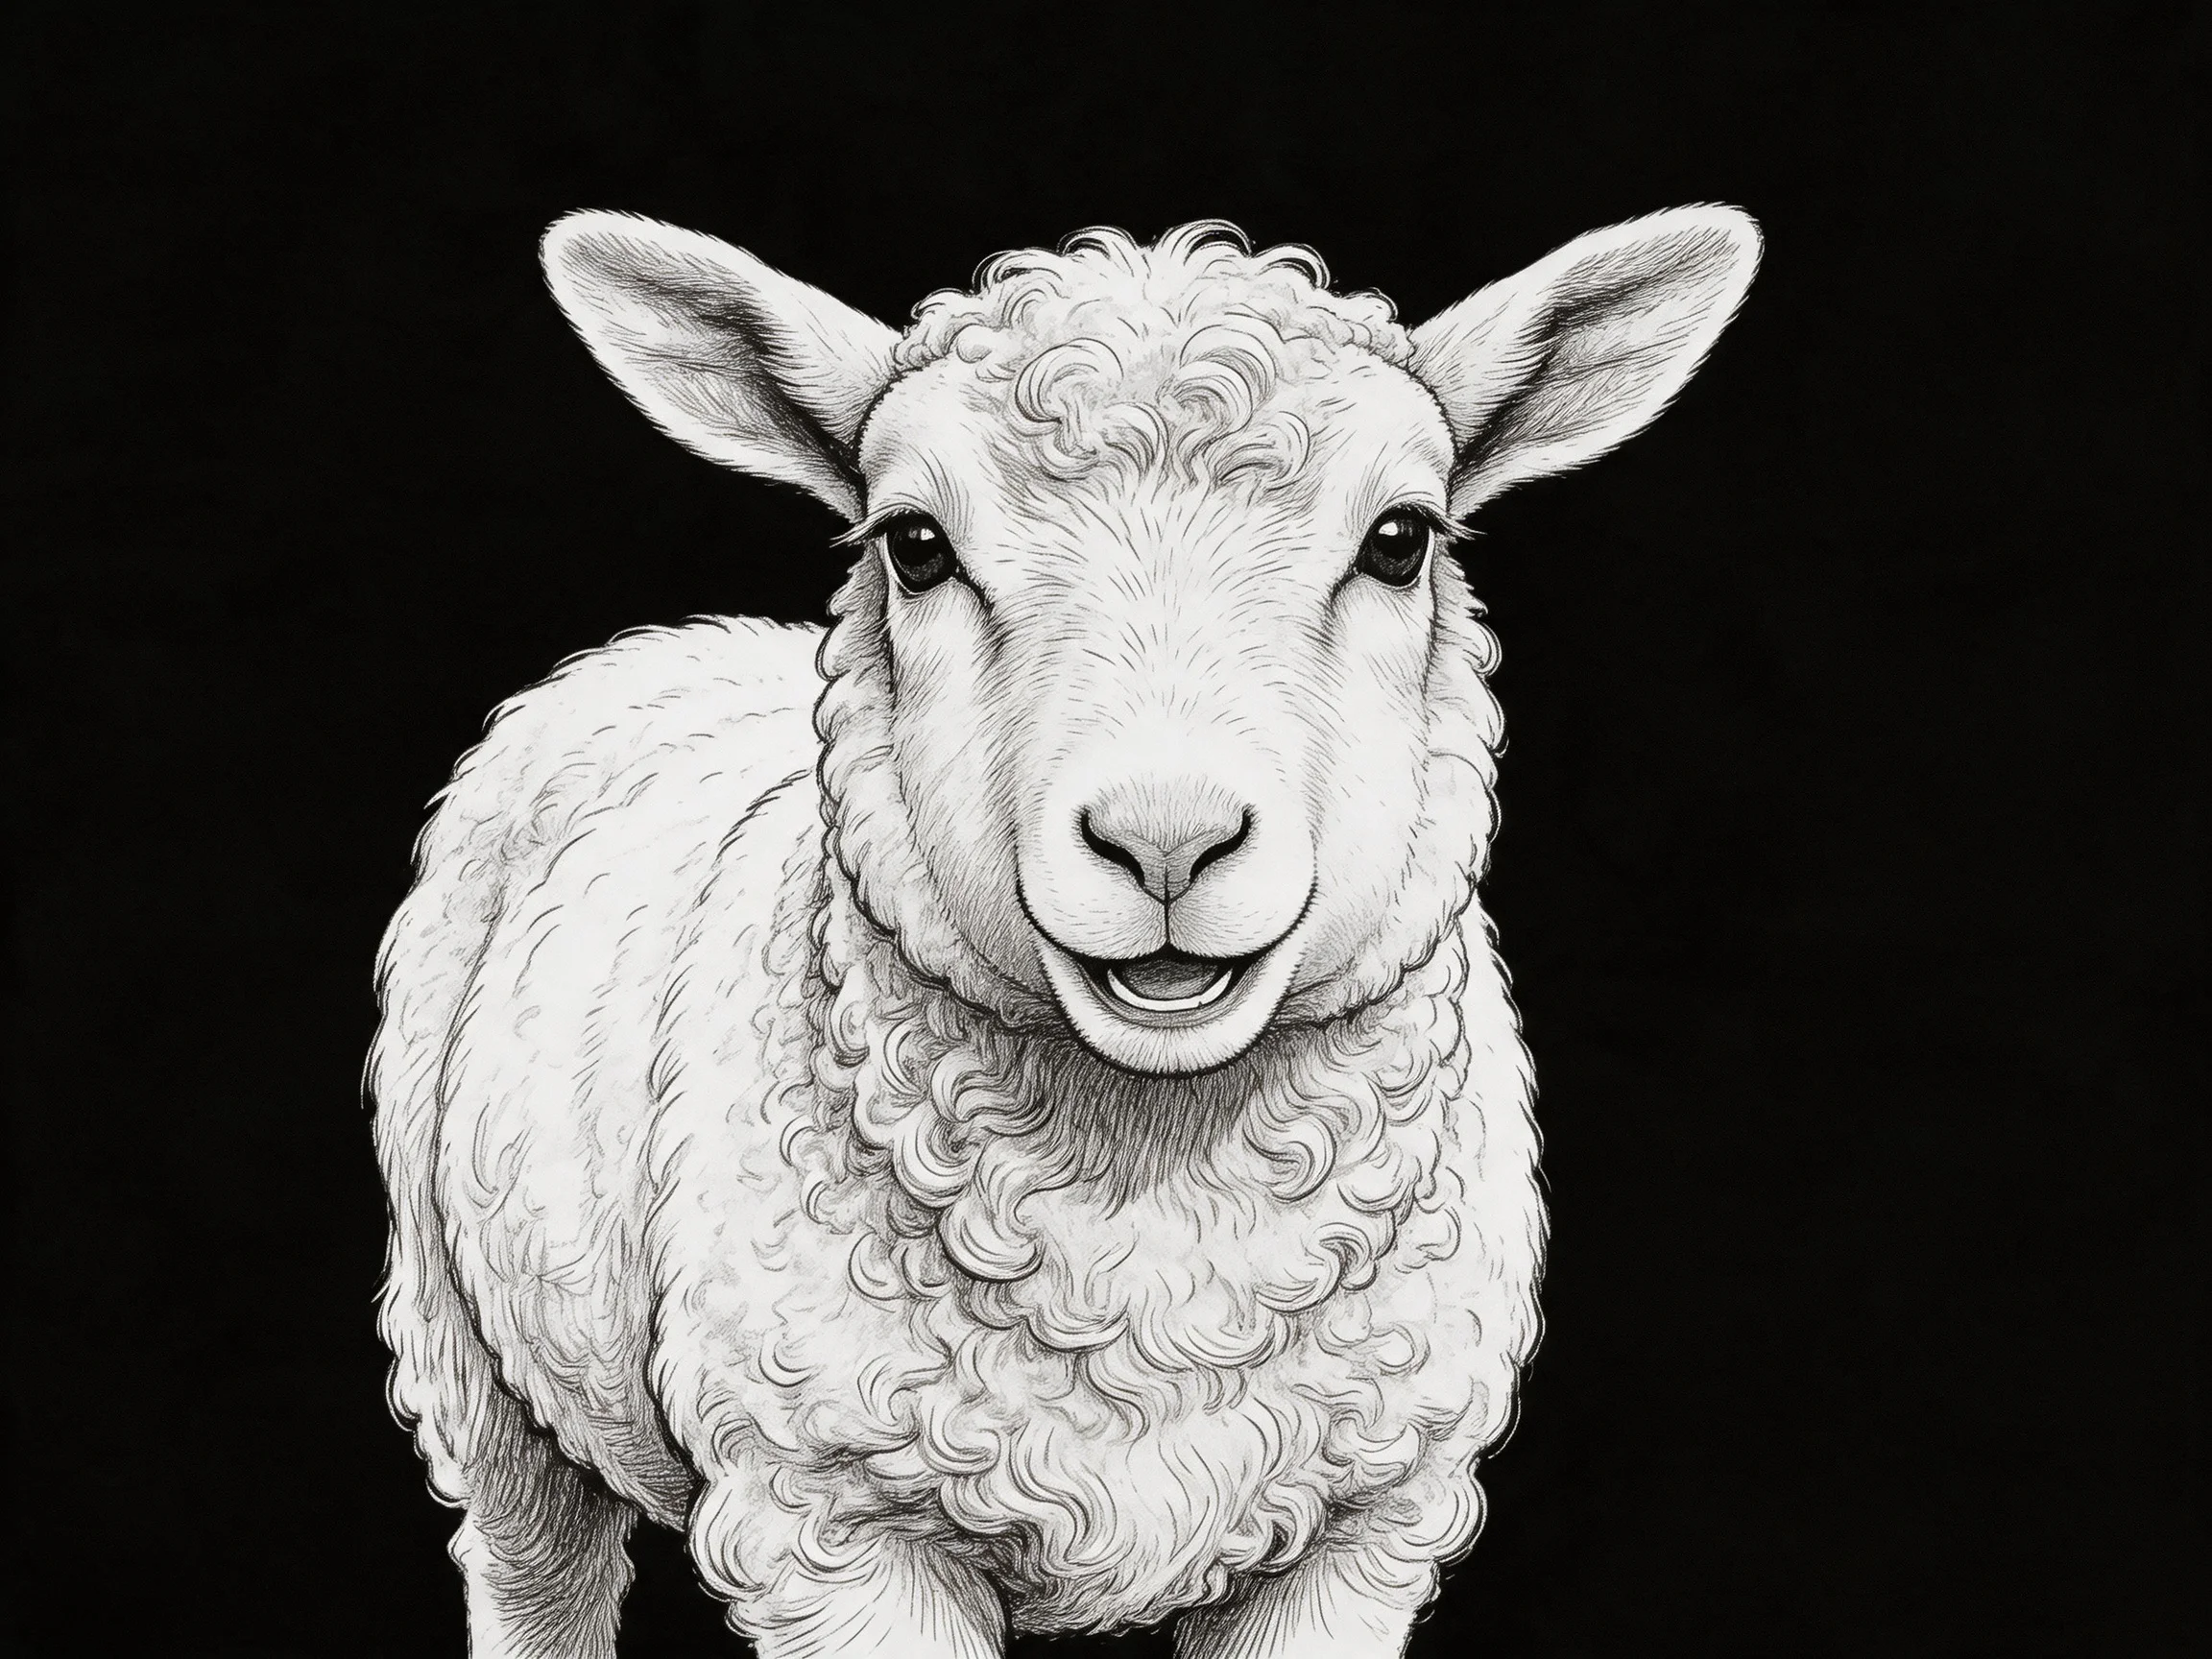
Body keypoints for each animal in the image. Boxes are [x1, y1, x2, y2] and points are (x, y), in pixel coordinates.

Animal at [368, 206, 1759, 1658]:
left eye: (1401, 537)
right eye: (915, 543)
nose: (1167, 838)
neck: (1154, 1200)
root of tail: (683, 641)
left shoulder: (1366, 1516)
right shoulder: (832, 1519)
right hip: (472, 1354)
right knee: (535, 1565)